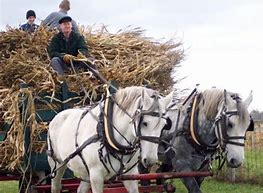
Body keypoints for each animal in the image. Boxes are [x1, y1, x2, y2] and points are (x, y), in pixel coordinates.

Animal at [47, 86, 175, 193]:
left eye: (164, 126)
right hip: (57, 164)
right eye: (145, 123)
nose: (150, 160)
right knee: (55, 186)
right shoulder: (96, 176)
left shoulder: (131, 174)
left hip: (85, 171)